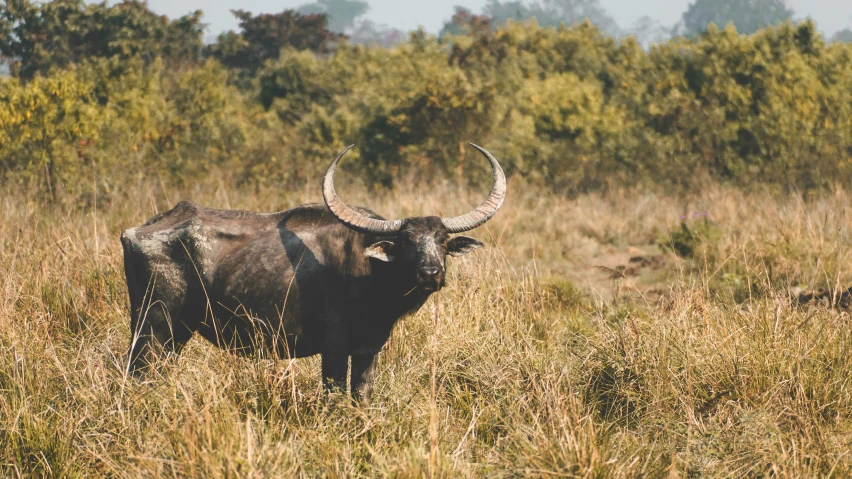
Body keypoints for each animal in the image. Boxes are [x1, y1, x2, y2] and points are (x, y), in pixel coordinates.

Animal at [120, 143, 506, 404]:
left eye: (441, 240)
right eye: (407, 241)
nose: (430, 272)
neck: (370, 275)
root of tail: (138, 230)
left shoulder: (368, 351)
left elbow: (361, 397)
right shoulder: (333, 350)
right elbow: (334, 397)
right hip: (156, 328)